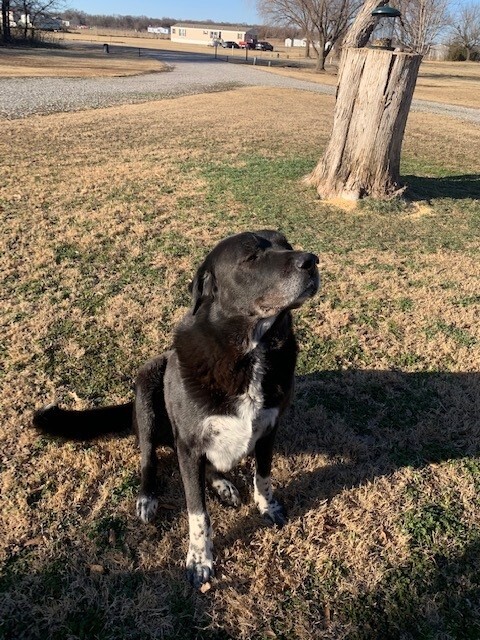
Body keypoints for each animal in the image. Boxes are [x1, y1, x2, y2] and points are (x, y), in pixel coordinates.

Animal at [33, 230, 318, 592]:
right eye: (251, 256)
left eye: (286, 245)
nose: (311, 261)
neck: (248, 351)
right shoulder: (189, 444)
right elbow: (198, 513)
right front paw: (200, 559)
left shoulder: (269, 428)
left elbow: (264, 477)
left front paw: (268, 507)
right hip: (148, 386)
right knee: (149, 458)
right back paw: (148, 496)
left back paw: (222, 484)